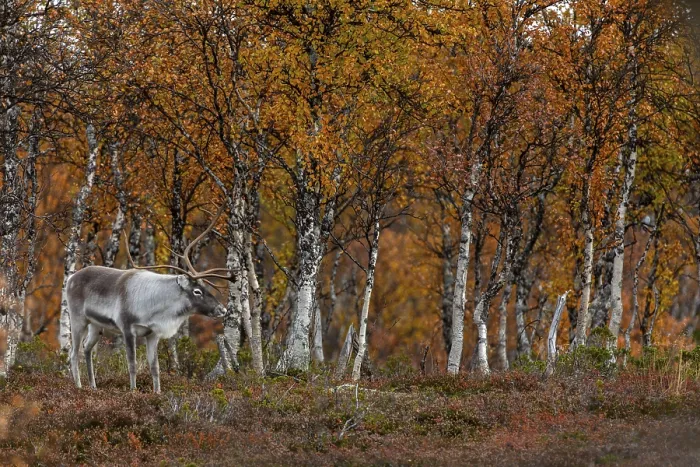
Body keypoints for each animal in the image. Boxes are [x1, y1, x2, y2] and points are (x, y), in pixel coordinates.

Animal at [66, 206, 232, 393]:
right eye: (197, 291)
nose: (222, 309)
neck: (156, 307)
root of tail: (70, 279)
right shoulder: (127, 329)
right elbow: (132, 364)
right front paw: (133, 391)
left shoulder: (152, 334)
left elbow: (155, 367)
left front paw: (157, 392)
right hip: (78, 319)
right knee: (74, 353)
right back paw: (79, 386)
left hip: (96, 326)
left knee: (87, 349)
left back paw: (93, 386)